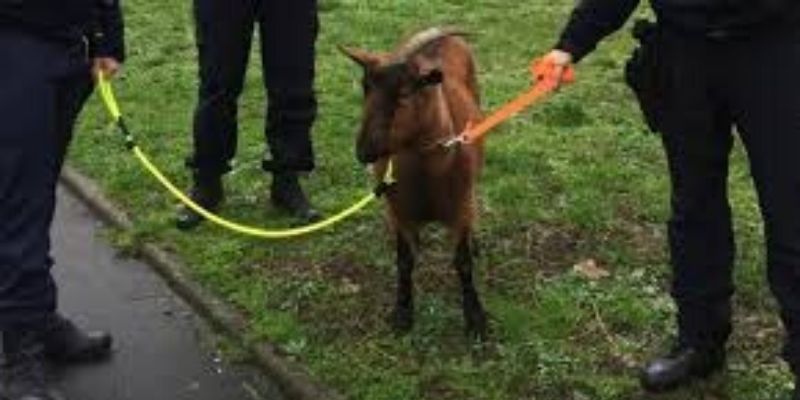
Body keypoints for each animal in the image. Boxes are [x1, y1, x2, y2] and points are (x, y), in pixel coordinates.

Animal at [341, 27, 487, 338]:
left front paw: (475, 318)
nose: (363, 152)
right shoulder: (399, 213)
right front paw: (403, 313)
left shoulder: (460, 210)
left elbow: (463, 263)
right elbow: (404, 261)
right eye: (365, 87)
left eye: (405, 93)